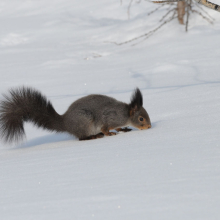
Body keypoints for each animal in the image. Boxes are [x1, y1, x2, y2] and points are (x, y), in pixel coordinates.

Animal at [0, 87, 150, 144]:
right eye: (141, 118)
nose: (149, 127)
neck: (125, 115)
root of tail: (65, 123)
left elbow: (119, 127)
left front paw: (124, 129)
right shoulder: (110, 117)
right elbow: (105, 127)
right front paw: (110, 133)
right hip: (85, 120)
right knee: (81, 138)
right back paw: (93, 136)